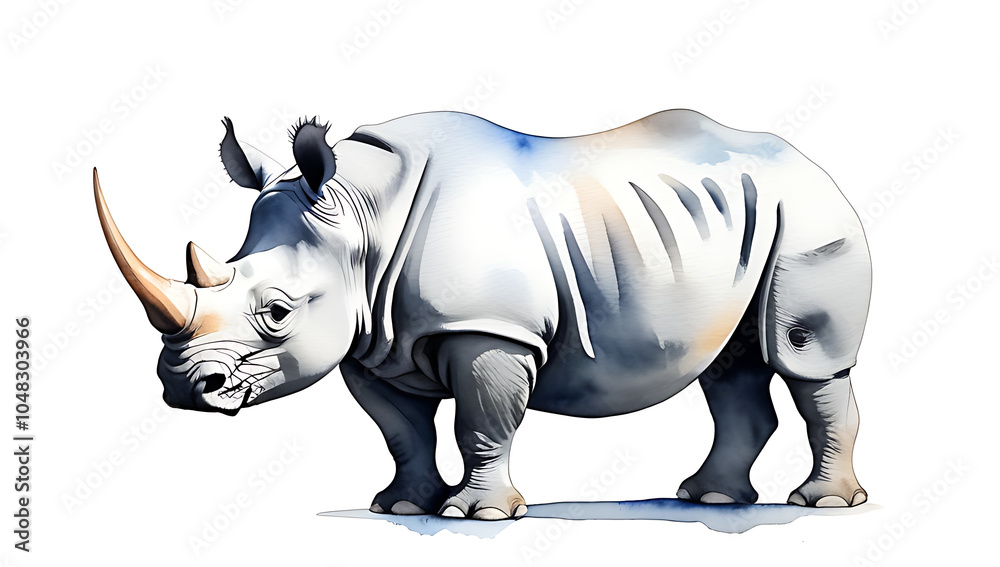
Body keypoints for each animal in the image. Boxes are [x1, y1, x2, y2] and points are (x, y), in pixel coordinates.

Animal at [94, 110, 871, 520]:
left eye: (277, 311)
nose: (183, 390)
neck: (361, 221)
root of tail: (813, 162)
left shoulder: (489, 330)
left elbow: (481, 421)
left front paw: (478, 514)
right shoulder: (371, 340)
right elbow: (401, 430)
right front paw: (401, 507)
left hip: (808, 215)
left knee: (804, 356)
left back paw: (820, 505)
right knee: (731, 366)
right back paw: (708, 499)